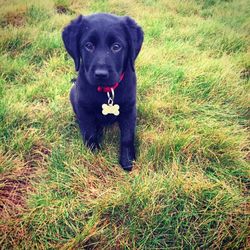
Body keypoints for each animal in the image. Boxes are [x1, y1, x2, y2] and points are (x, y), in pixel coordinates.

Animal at [62, 13, 144, 172]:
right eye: (88, 46)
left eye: (116, 47)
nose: (101, 74)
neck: (106, 91)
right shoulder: (84, 108)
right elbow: (89, 132)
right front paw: (93, 153)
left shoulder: (129, 109)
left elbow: (127, 136)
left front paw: (127, 160)